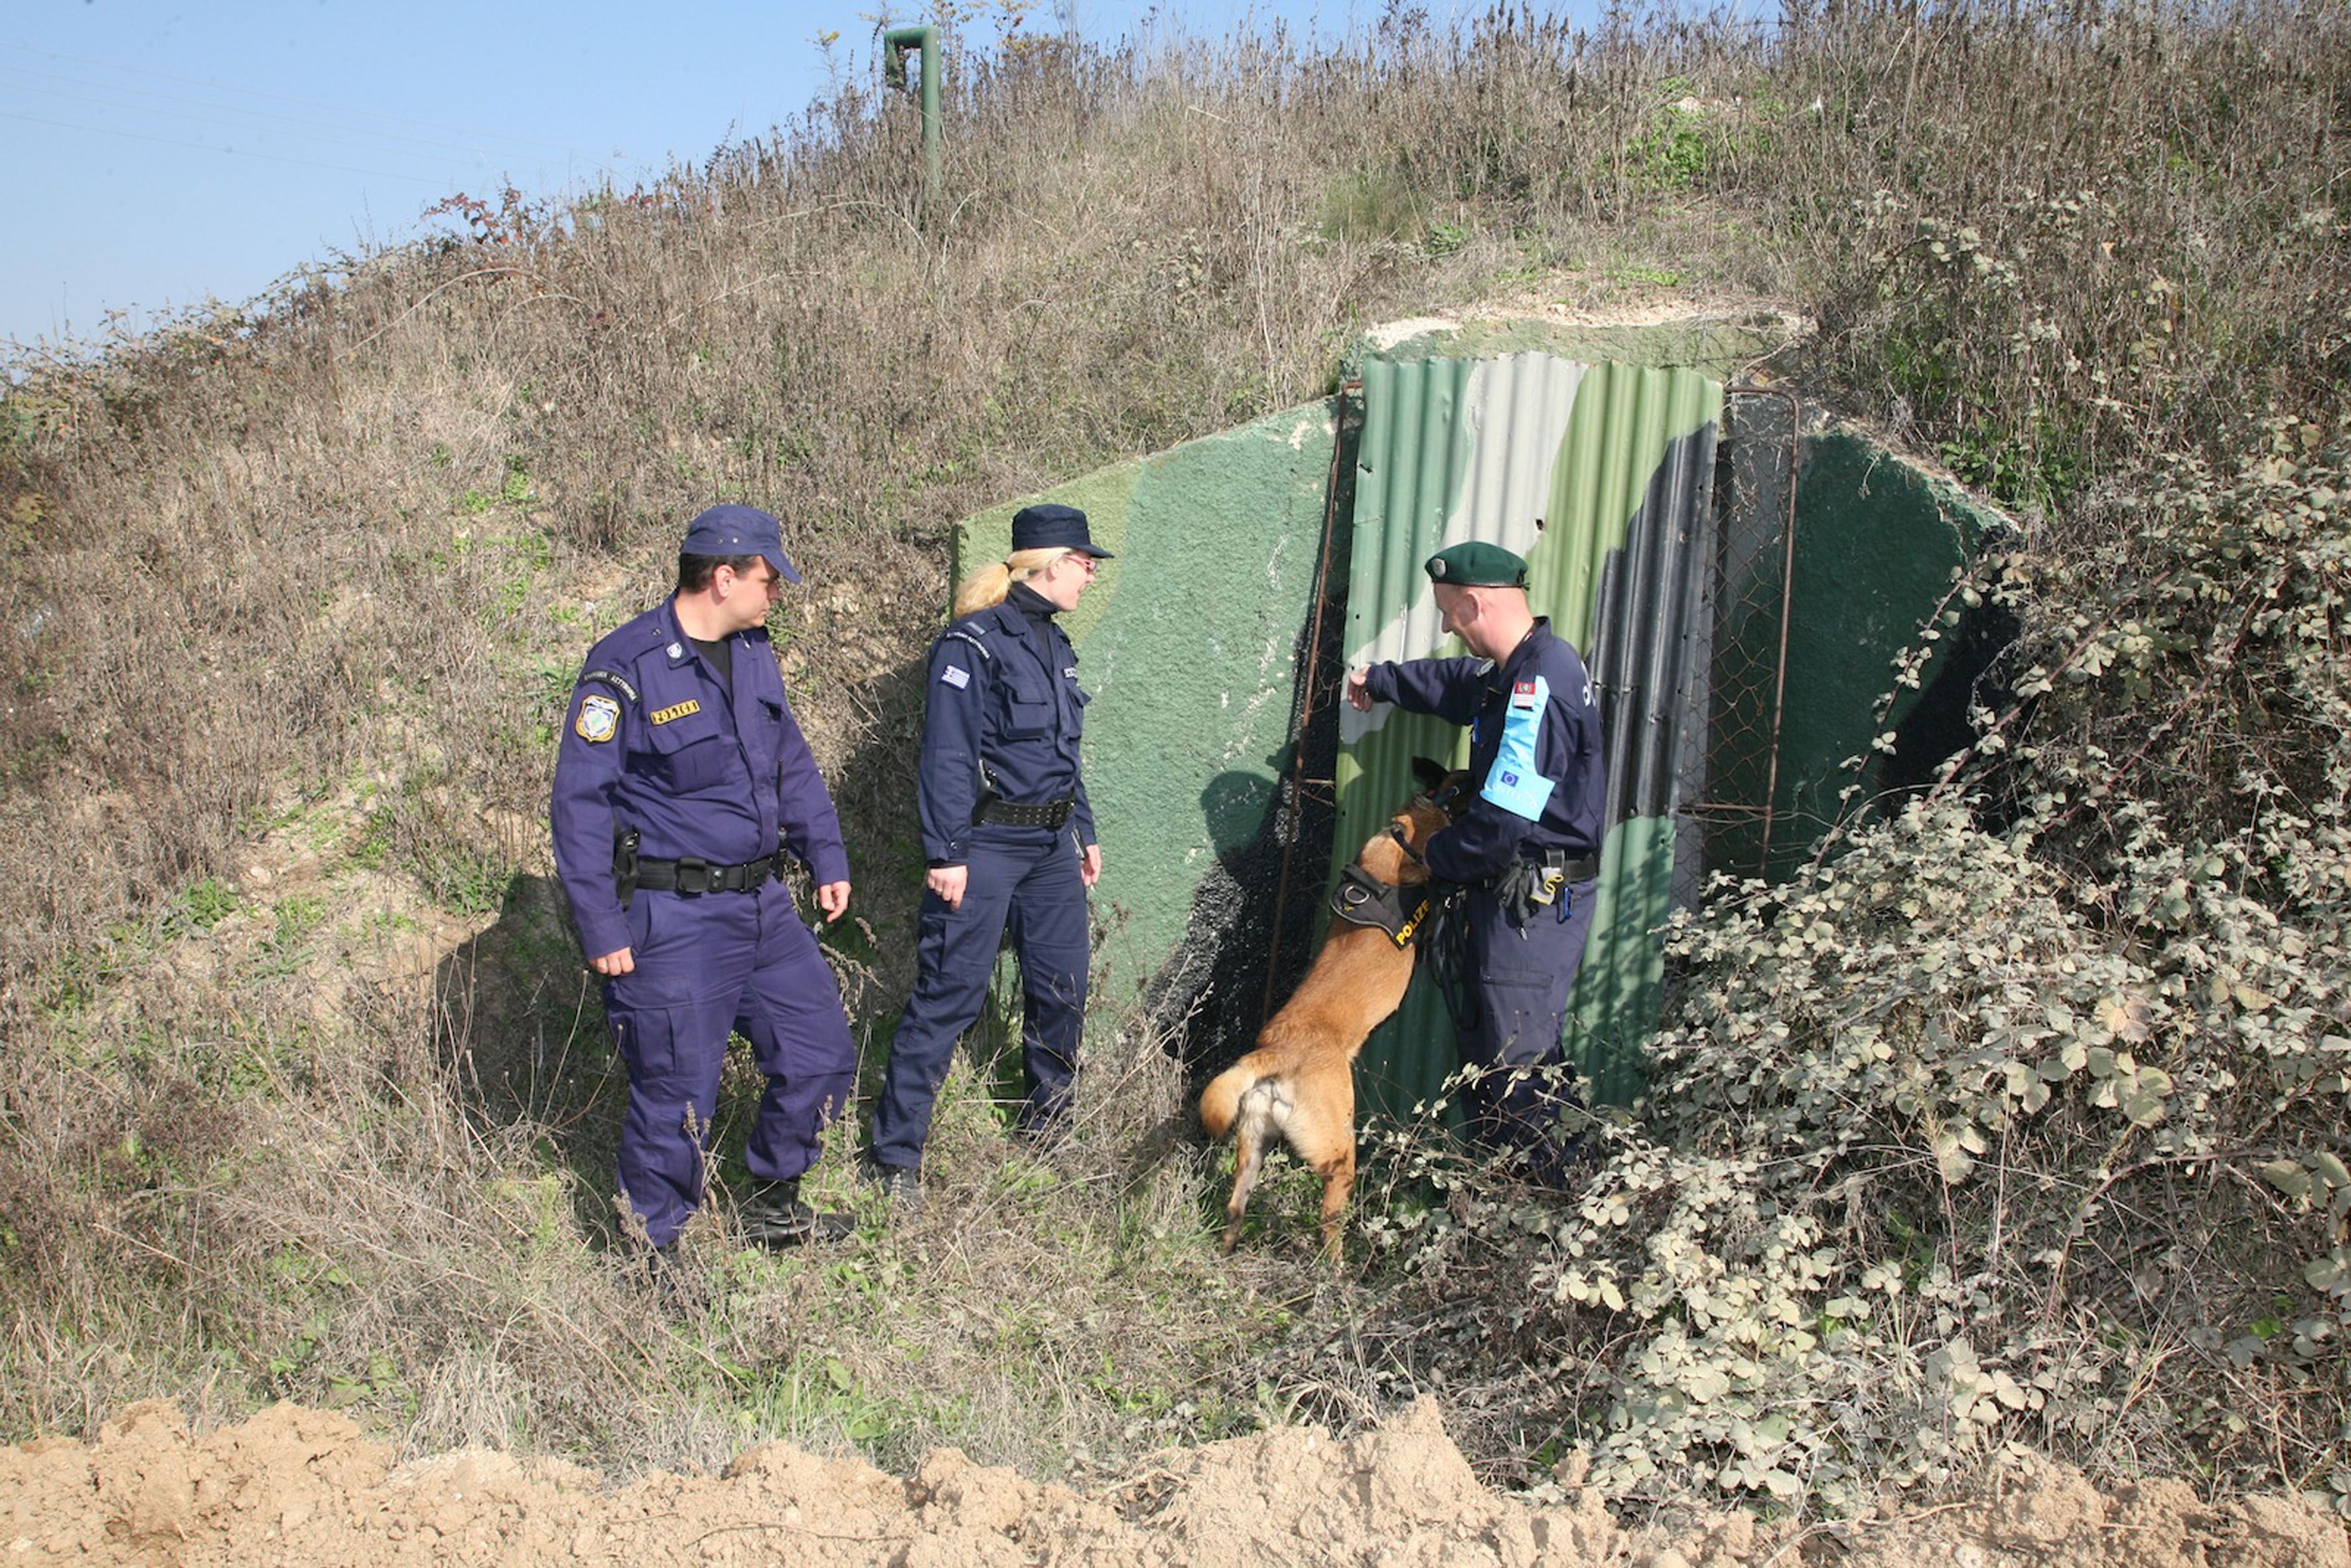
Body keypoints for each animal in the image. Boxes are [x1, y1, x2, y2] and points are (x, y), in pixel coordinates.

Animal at [1204, 752, 1457, 1259]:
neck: (1402, 833)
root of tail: (1275, 1053)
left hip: (1252, 1145)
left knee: (1236, 1206)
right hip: (1339, 1151)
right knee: (1328, 1225)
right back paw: (1335, 1269)